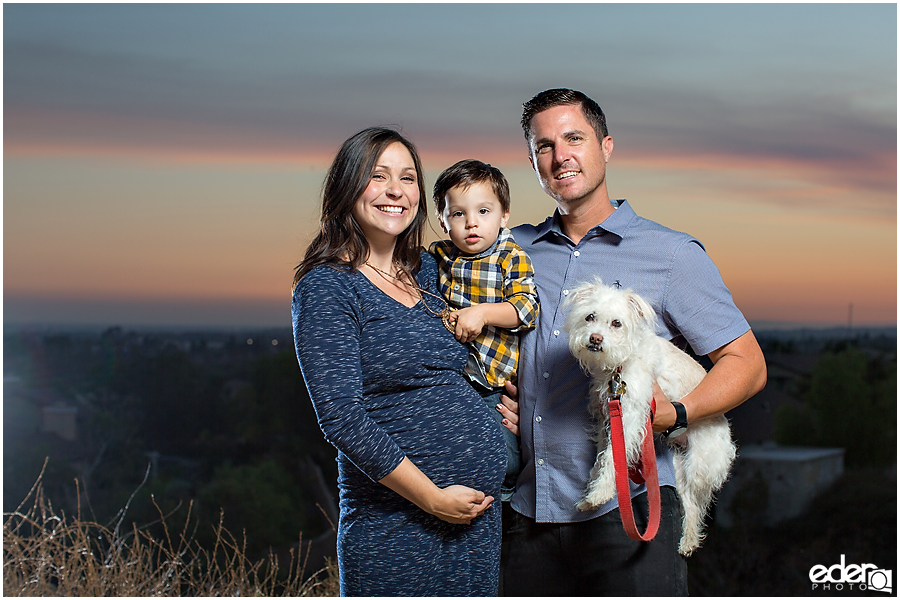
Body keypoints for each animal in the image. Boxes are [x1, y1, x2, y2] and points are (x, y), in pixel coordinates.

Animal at [568, 278, 736, 556]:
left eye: (616, 323)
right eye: (590, 317)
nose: (595, 338)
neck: (621, 362)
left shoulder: (630, 416)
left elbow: (613, 458)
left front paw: (600, 493)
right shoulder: (608, 417)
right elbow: (603, 455)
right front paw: (591, 487)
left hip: (697, 466)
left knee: (697, 504)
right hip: (680, 468)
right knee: (690, 506)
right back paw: (689, 542)